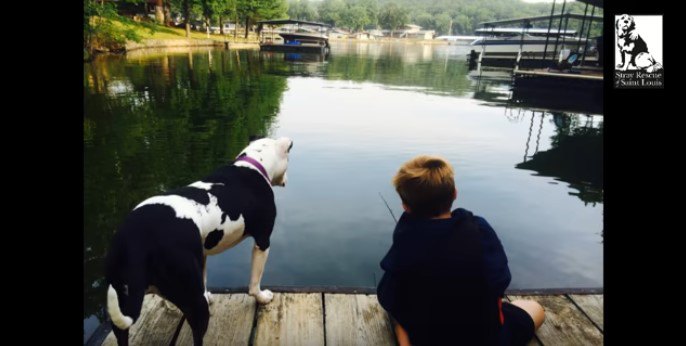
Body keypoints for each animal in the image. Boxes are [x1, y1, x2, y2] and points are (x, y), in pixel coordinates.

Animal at [105, 137, 292, 344]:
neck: (252, 164)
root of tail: (134, 239)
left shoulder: (201, 254)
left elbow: (204, 277)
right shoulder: (262, 241)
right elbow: (255, 281)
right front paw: (261, 297)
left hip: (124, 299)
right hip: (194, 303)